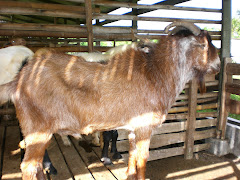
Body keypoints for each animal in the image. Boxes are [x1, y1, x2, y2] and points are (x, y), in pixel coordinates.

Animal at [0, 22, 220, 180]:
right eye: (205, 45)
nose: (218, 65)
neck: (156, 74)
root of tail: (18, 80)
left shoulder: (132, 128)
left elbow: (132, 157)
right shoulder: (144, 127)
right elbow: (142, 160)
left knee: (34, 164)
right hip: (38, 129)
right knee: (28, 166)